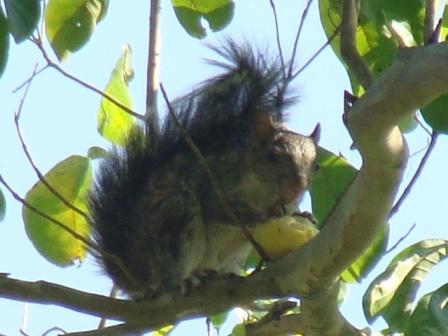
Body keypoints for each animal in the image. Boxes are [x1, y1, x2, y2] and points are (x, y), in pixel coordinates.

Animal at [88, 40, 318, 298]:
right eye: (272, 156)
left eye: (316, 166)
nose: (296, 188)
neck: (263, 193)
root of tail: (135, 275)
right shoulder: (216, 179)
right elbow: (217, 206)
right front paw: (263, 216)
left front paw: (303, 215)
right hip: (175, 217)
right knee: (168, 278)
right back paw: (184, 280)